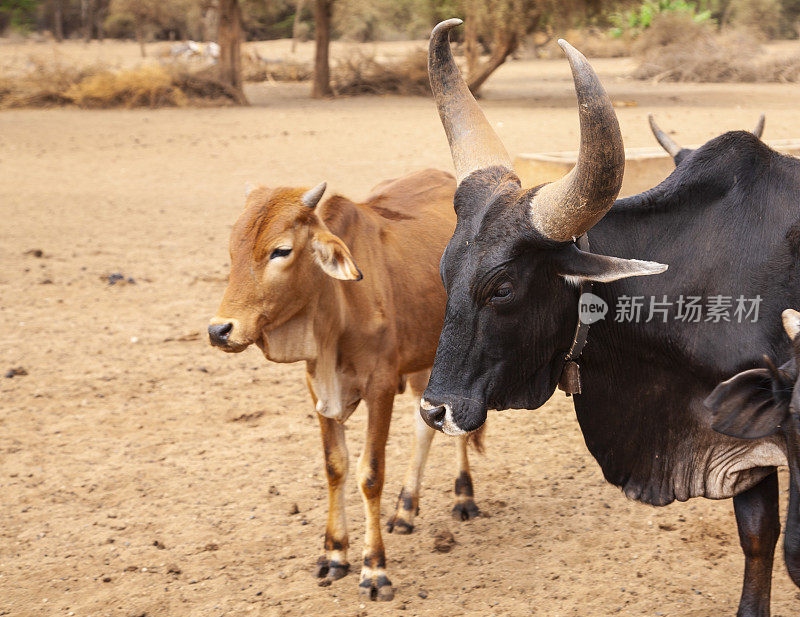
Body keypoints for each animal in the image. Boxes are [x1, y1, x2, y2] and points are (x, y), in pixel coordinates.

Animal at [208, 167, 482, 596]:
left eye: (281, 251)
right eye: (233, 247)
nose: (219, 330)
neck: (337, 309)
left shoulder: (381, 386)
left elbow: (370, 474)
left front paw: (375, 568)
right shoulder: (318, 388)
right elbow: (335, 465)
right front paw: (335, 553)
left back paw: (464, 497)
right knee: (427, 423)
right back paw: (405, 509)